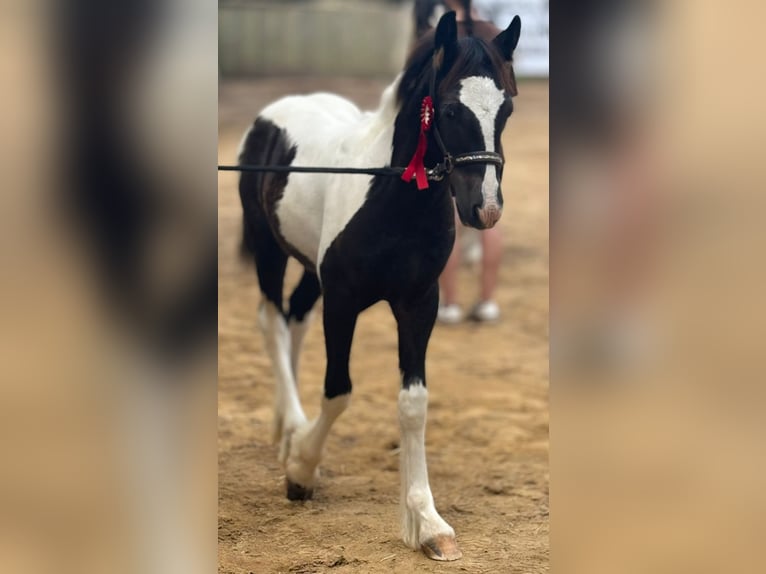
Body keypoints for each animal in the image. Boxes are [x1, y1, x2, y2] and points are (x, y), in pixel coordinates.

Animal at [237, 11, 520, 564]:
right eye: (450, 108)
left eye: (508, 107)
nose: (486, 209)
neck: (390, 197)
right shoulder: (344, 301)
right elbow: (338, 391)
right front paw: (301, 471)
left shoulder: (419, 303)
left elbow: (413, 404)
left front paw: (428, 523)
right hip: (268, 247)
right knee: (271, 321)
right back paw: (290, 428)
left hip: (310, 268)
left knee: (295, 316)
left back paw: (288, 428)